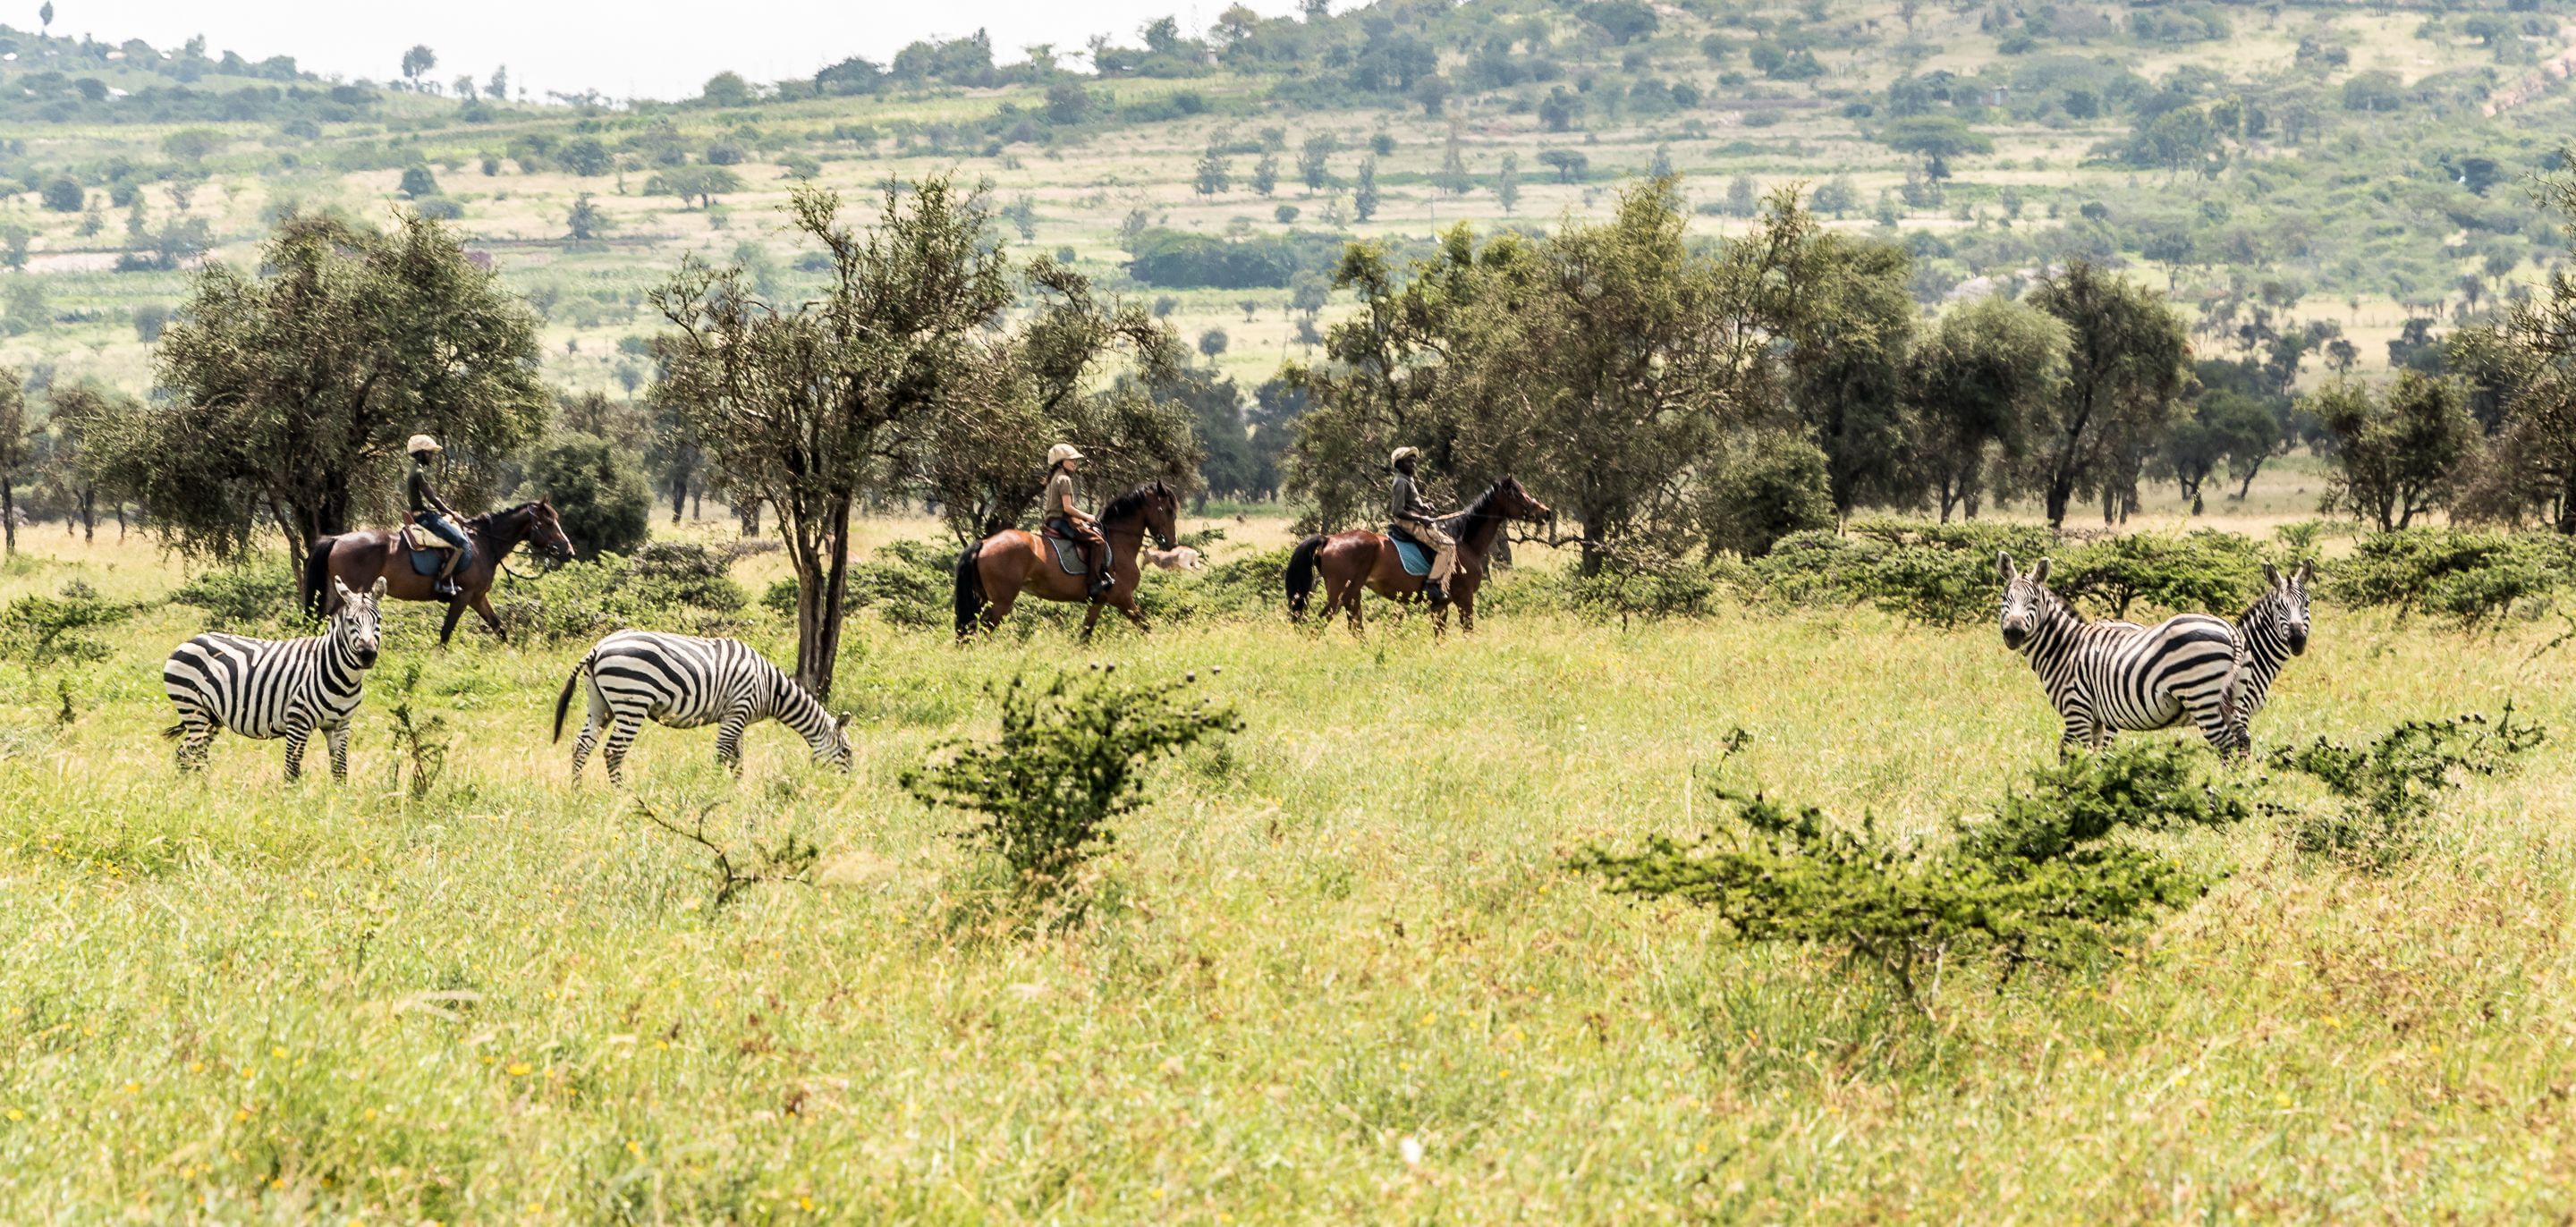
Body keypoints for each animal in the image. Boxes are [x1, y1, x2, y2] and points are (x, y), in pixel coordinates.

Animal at [301, 501, 576, 646]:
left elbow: (499, 627)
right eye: (548, 523)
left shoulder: (478, 598)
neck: (483, 544)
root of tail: (336, 539)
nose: (569, 551)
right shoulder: (463, 597)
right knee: (327, 620)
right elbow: (446, 633)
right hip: (348, 593)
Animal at [953, 481, 1182, 642]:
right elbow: (1145, 626)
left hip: (983, 597)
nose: (1171, 544)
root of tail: (984, 543)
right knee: (983, 628)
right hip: (1002, 601)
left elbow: (1085, 635)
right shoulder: (1123, 598)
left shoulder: (1098, 601)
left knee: (969, 627)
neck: (1119, 542)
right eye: (1169, 511)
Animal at [1283, 476, 1552, 636]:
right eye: (1518, 493)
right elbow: (1467, 631)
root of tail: (1329, 539)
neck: (1464, 540)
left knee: (1356, 627)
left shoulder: (1440, 604)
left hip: (1353, 594)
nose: (1546, 512)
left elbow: (1439, 637)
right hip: (1339, 595)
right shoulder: (1464, 598)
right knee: (1319, 624)